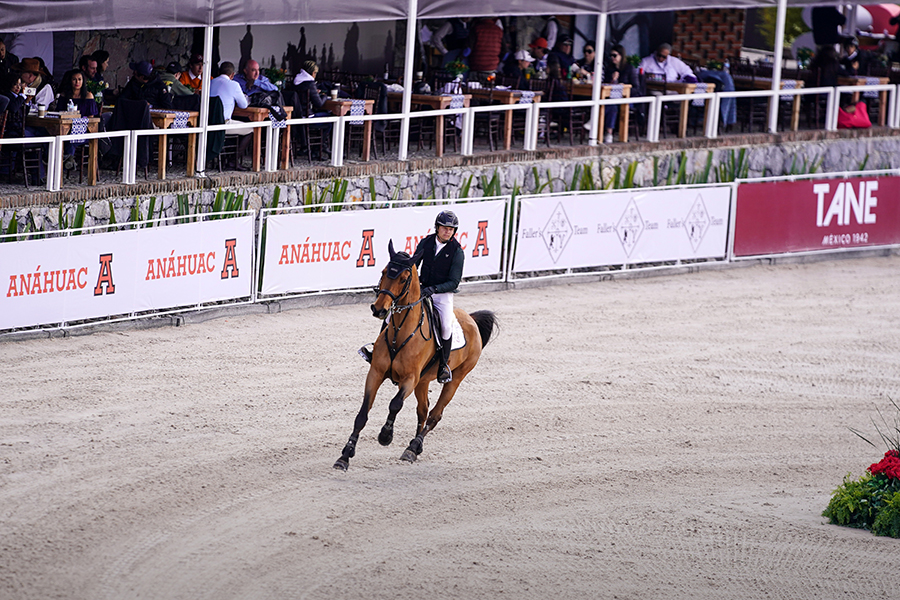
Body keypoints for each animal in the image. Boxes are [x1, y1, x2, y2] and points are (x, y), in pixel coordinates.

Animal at [332, 241, 496, 472]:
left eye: (403, 278)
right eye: (383, 272)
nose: (378, 309)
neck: (401, 332)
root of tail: (471, 319)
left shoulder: (409, 379)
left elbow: (395, 404)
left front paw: (385, 436)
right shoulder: (376, 373)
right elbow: (362, 414)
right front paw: (345, 456)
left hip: (455, 378)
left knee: (435, 414)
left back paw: (413, 447)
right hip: (423, 381)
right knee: (423, 411)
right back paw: (414, 449)